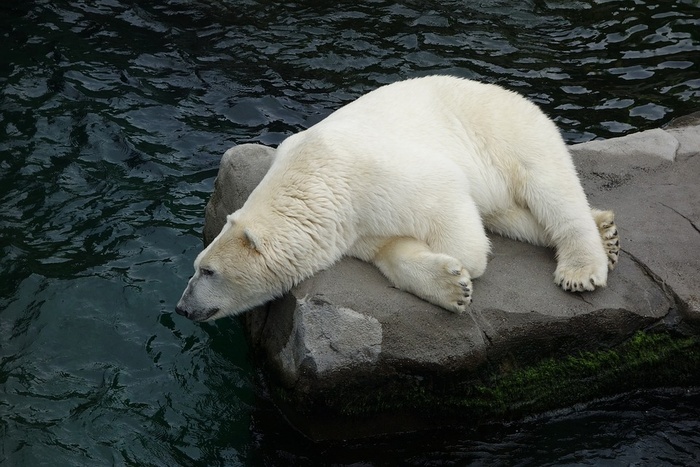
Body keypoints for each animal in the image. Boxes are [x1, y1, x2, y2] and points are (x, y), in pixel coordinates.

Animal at [175, 76, 616, 322]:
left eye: (207, 270)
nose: (182, 307)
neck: (314, 180)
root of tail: (512, 93)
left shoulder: (373, 176)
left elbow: (447, 198)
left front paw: (464, 267)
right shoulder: (350, 225)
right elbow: (388, 249)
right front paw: (450, 287)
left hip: (506, 133)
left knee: (551, 189)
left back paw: (582, 266)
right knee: (514, 215)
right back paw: (606, 231)